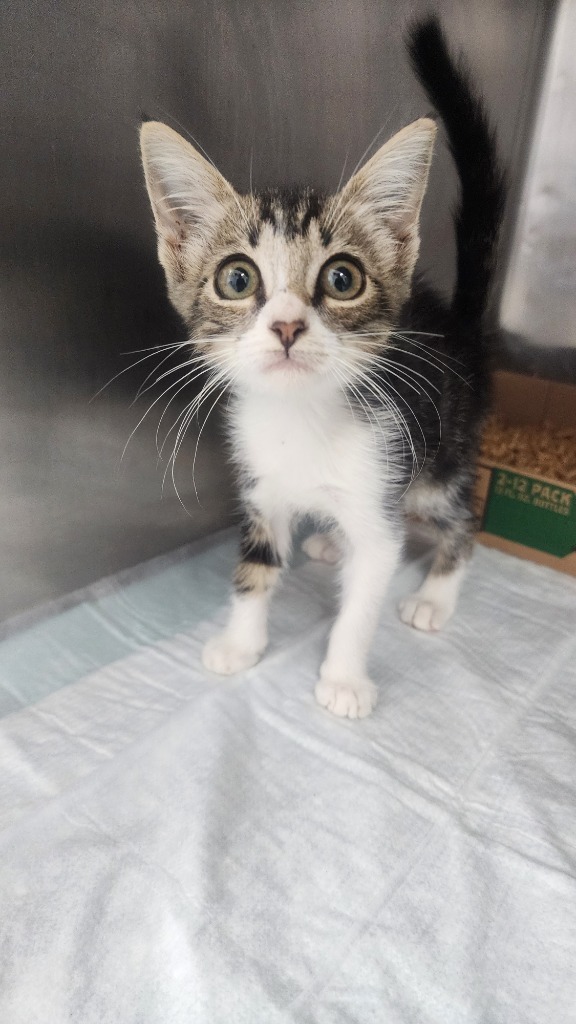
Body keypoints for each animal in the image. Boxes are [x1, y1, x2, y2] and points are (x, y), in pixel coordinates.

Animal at [139, 18, 502, 720]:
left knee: (460, 519)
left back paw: (434, 597)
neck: (300, 419)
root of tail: (461, 325)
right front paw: (240, 643)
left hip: (439, 459)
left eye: (342, 279)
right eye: (236, 278)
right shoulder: (262, 489)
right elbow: (255, 567)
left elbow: (365, 594)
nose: (286, 326)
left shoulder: (381, 480)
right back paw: (333, 542)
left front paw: (343, 679)